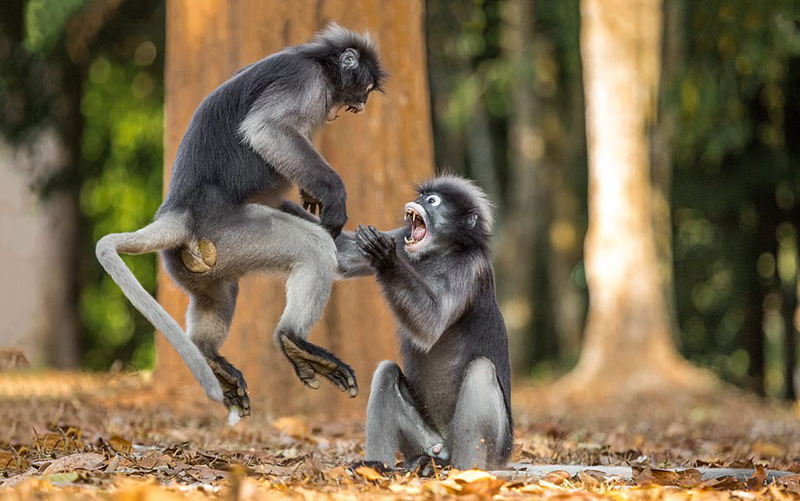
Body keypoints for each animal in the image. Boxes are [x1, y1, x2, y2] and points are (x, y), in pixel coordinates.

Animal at [95, 23, 390, 414]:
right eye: (366, 89)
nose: (362, 105)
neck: (316, 60)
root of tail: (180, 209)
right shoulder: (305, 80)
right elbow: (267, 129)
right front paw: (332, 194)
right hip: (230, 229)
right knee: (315, 246)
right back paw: (293, 339)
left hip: (200, 259)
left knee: (220, 293)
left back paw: (209, 355)